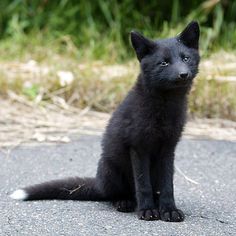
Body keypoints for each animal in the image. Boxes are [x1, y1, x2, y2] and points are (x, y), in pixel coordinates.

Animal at [10, 21, 199, 222]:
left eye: (186, 58)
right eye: (164, 63)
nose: (183, 74)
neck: (165, 108)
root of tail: (99, 184)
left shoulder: (168, 148)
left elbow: (167, 186)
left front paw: (169, 210)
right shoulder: (138, 147)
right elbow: (143, 185)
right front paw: (147, 210)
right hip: (110, 169)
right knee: (116, 195)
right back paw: (124, 202)